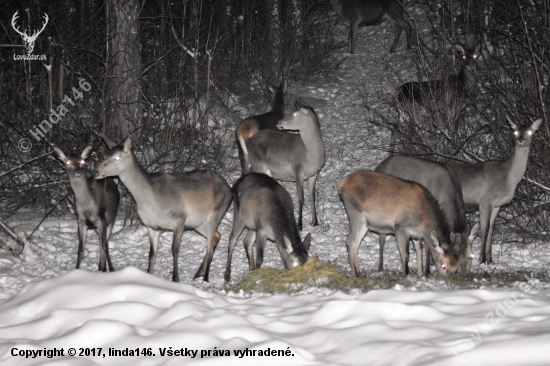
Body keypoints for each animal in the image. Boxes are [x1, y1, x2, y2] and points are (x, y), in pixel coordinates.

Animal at [95, 138, 233, 284]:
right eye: (105, 155)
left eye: (116, 157)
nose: (96, 171)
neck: (150, 200)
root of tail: (229, 188)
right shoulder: (152, 226)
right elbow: (152, 253)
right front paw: (148, 275)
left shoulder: (179, 218)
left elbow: (175, 249)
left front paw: (175, 278)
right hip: (197, 223)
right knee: (217, 236)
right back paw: (198, 273)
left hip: (216, 213)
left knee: (210, 244)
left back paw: (206, 277)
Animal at [247, 99, 328, 232]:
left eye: (294, 114)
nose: (278, 122)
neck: (311, 155)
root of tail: (248, 141)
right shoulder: (298, 169)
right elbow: (301, 198)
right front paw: (299, 225)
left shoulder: (314, 173)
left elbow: (312, 196)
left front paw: (315, 222)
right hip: (258, 163)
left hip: (256, 165)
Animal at [448, 117, 544, 264]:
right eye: (515, 132)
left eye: (529, 131)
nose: (520, 140)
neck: (508, 179)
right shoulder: (485, 200)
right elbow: (485, 228)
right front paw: (481, 260)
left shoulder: (497, 205)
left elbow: (492, 229)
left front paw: (490, 259)